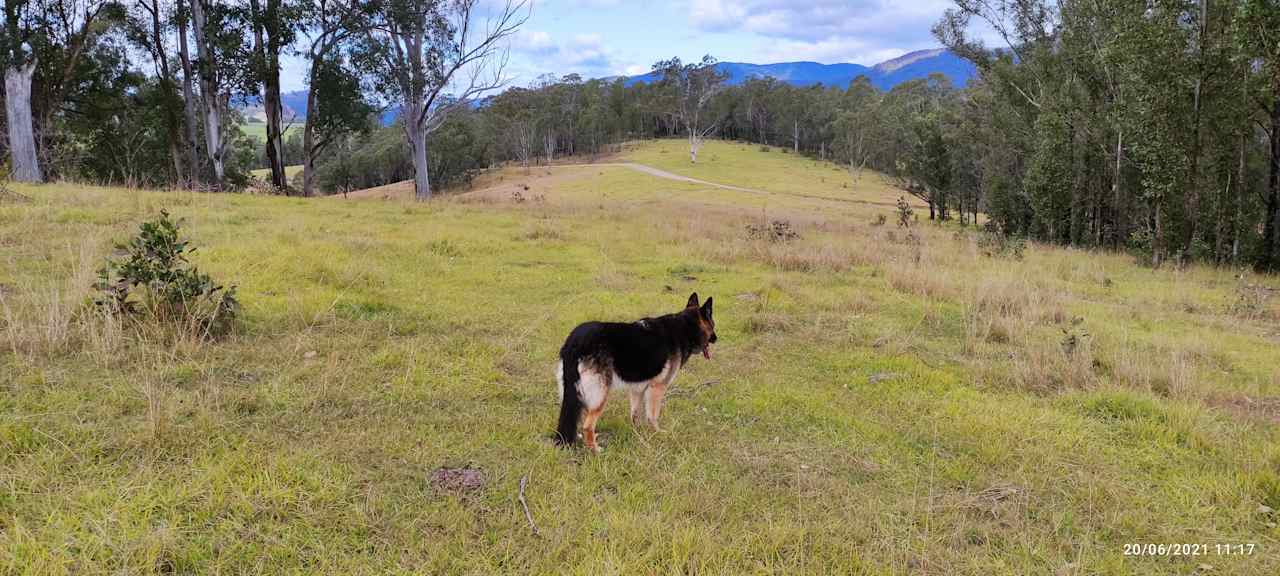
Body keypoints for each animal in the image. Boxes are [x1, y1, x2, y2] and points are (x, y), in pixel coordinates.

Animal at [555, 294, 721, 453]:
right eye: (713, 324)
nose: (716, 338)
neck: (685, 327)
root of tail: (575, 341)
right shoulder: (657, 388)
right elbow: (652, 416)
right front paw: (657, 433)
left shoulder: (637, 389)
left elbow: (635, 415)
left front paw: (638, 433)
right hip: (600, 395)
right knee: (587, 425)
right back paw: (595, 449)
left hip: (576, 393)